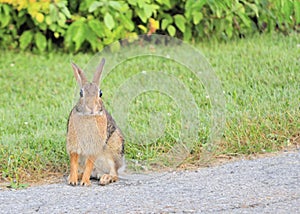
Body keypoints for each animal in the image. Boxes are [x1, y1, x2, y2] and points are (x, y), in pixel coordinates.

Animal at [66, 58, 124, 186]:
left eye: (100, 93)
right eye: (81, 93)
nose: (91, 107)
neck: (88, 116)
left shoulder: (94, 146)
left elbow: (90, 162)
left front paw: (84, 183)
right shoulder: (74, 144)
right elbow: (73, 161)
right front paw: (73, 181)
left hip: (113, 150)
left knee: (115, 173)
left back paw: (106, 178)